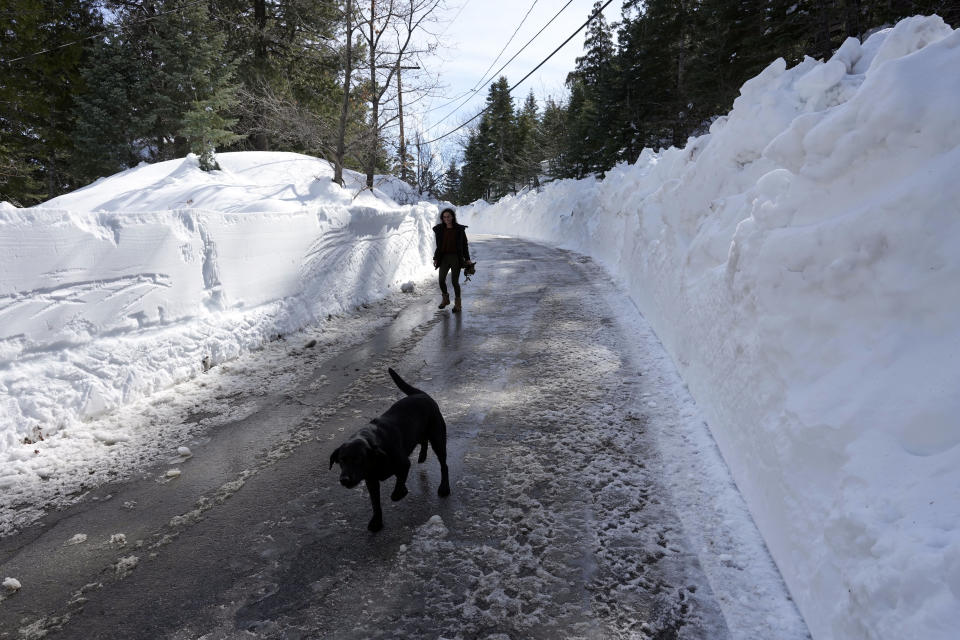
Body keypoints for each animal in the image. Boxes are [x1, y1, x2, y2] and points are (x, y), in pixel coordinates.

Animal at [330, 368, 450, 532]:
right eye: (341, 460)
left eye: (358, 459)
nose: (344, 479)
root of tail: (421, 394)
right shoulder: (371, 480)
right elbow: (375, 503)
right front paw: (377, 522)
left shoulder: (403, 464)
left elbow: (398, 487)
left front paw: (401, 493)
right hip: (417, 433)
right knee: (423, 441)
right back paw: (422, 456)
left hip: (437, 437)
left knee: (444, 464)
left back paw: (444, 488)